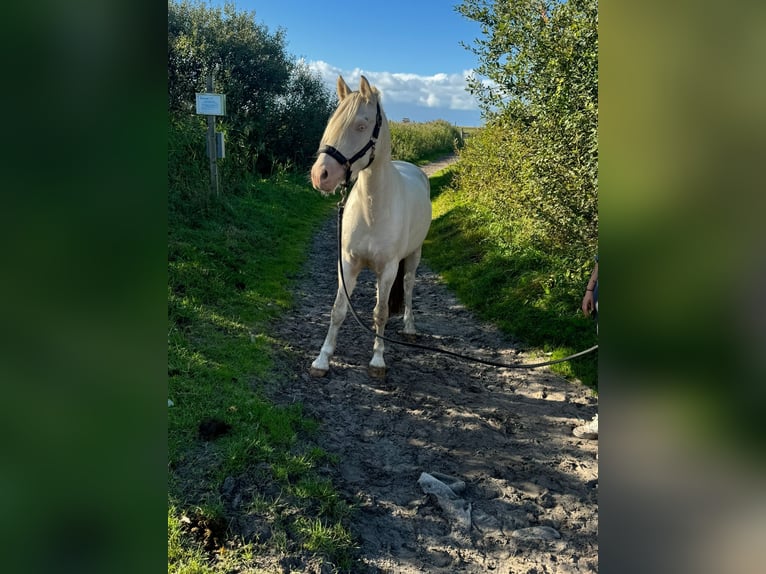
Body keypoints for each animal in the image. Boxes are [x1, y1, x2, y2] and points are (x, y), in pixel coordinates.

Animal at [310, 76, 432, 380]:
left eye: (361, 126)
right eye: (332, 122)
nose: (321, 175)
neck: (372, 209)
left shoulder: (388, 269)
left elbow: (381, 313)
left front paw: (377, 360)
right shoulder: (347, 263)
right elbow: (338, 310)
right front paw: (322, 359)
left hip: (413, 256)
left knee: (408, 286)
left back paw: (409, 327)